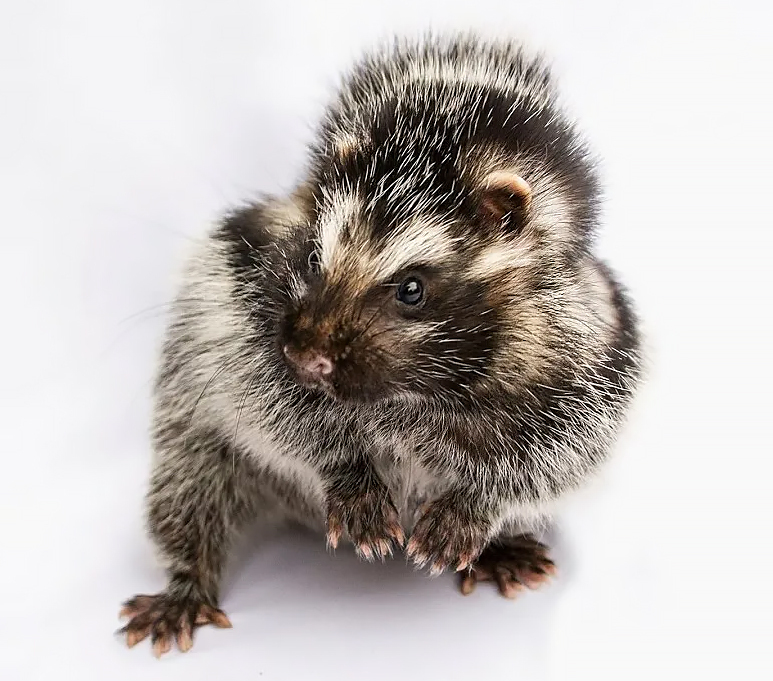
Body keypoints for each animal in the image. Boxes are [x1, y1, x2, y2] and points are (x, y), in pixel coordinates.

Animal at [119, 35, 642, 657]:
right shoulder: (244, 306)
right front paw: (347, 474)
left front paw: (477, 509)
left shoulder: (589, 355)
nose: (306, 357)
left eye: (412, 288)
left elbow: (559, 458)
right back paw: (188, 577)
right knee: (191, 483)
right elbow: (276, 409)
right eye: (312, 257)